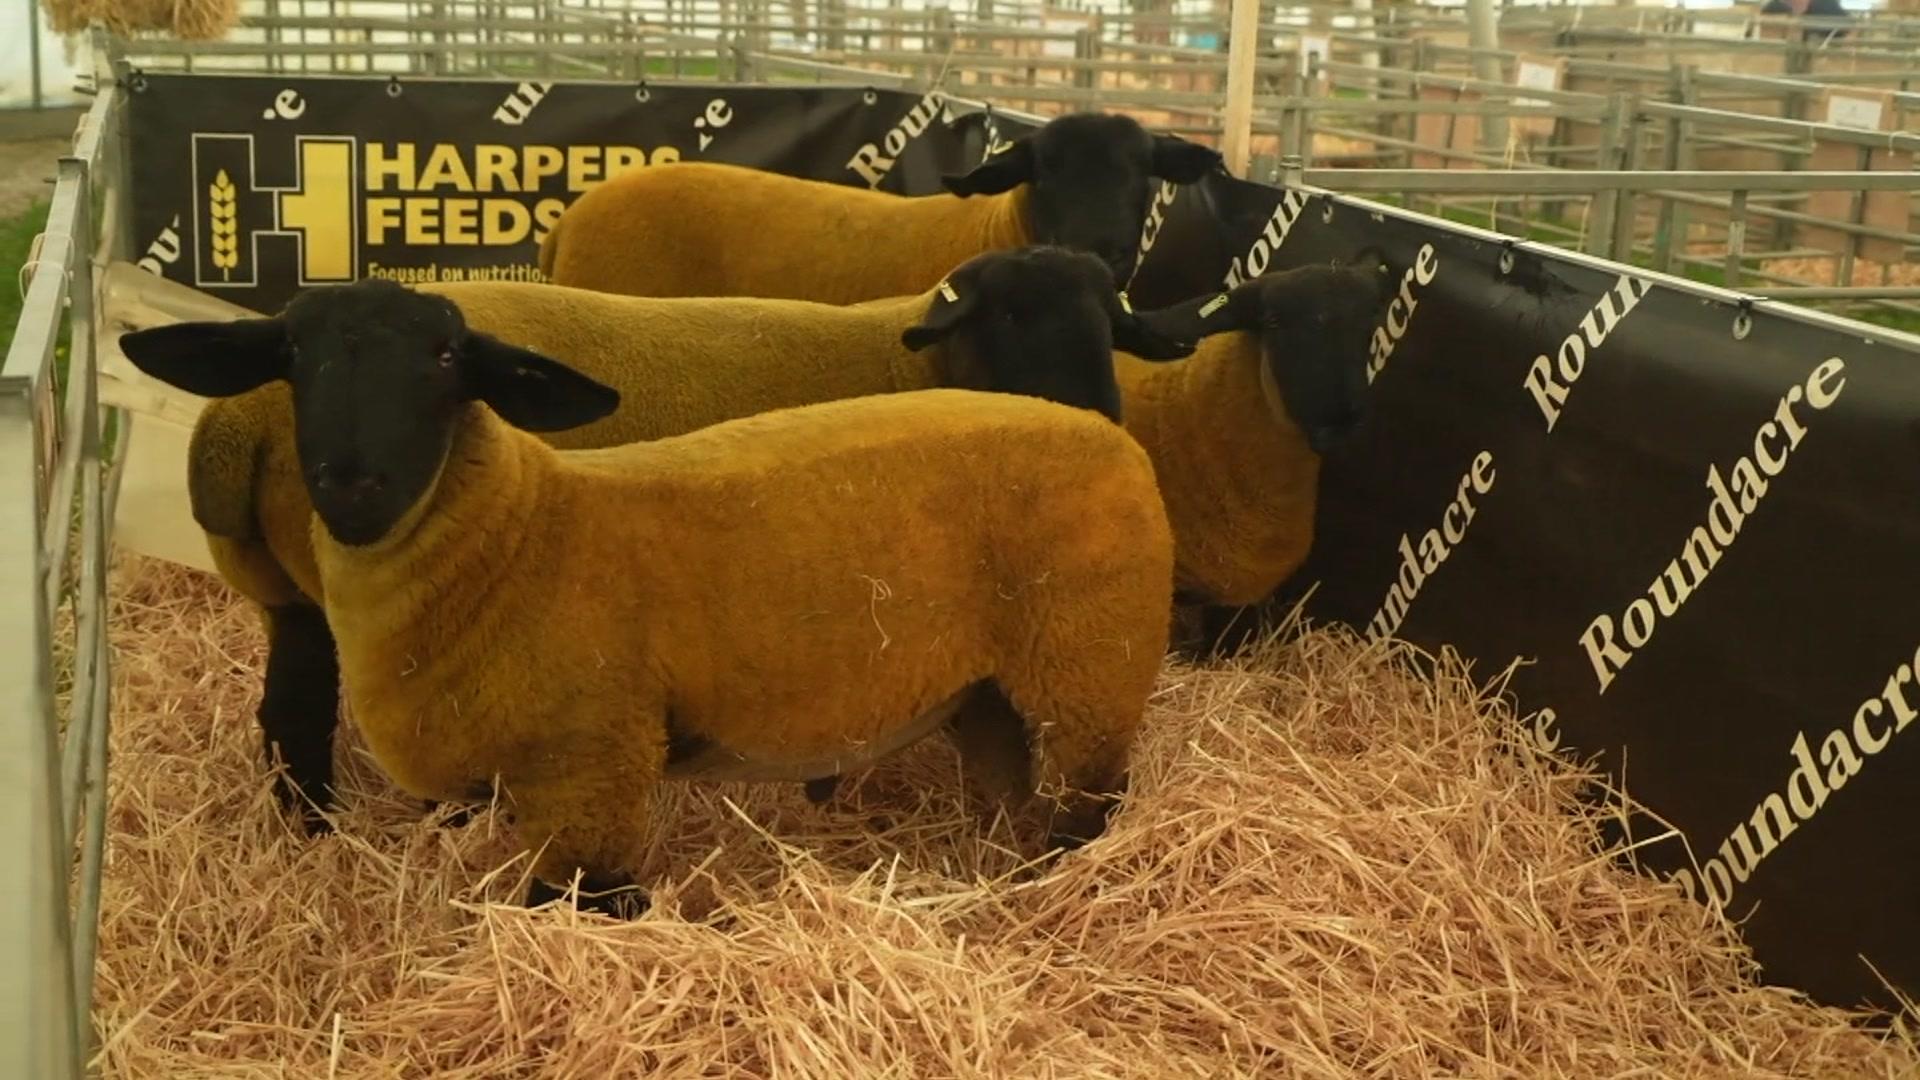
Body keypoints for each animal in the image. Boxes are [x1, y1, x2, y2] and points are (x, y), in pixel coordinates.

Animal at [120, 276, 1175, 907]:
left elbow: (592, 905)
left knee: (1089, 808)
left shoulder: (595, 774)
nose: (351, 481)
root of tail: (1110, 438)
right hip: (993, 691)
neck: (524, 528)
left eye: (447, 360)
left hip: (1089, 672)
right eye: (293, 358)